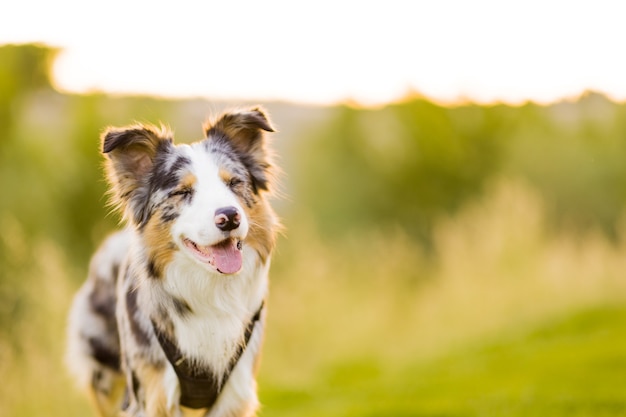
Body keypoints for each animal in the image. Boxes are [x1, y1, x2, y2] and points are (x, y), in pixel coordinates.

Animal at [66, 108, 278, 416]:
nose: (230, 217)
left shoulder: (234, 395)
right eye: (182, 192)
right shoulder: (152, 396)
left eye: (234, 183)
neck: (210, 291)